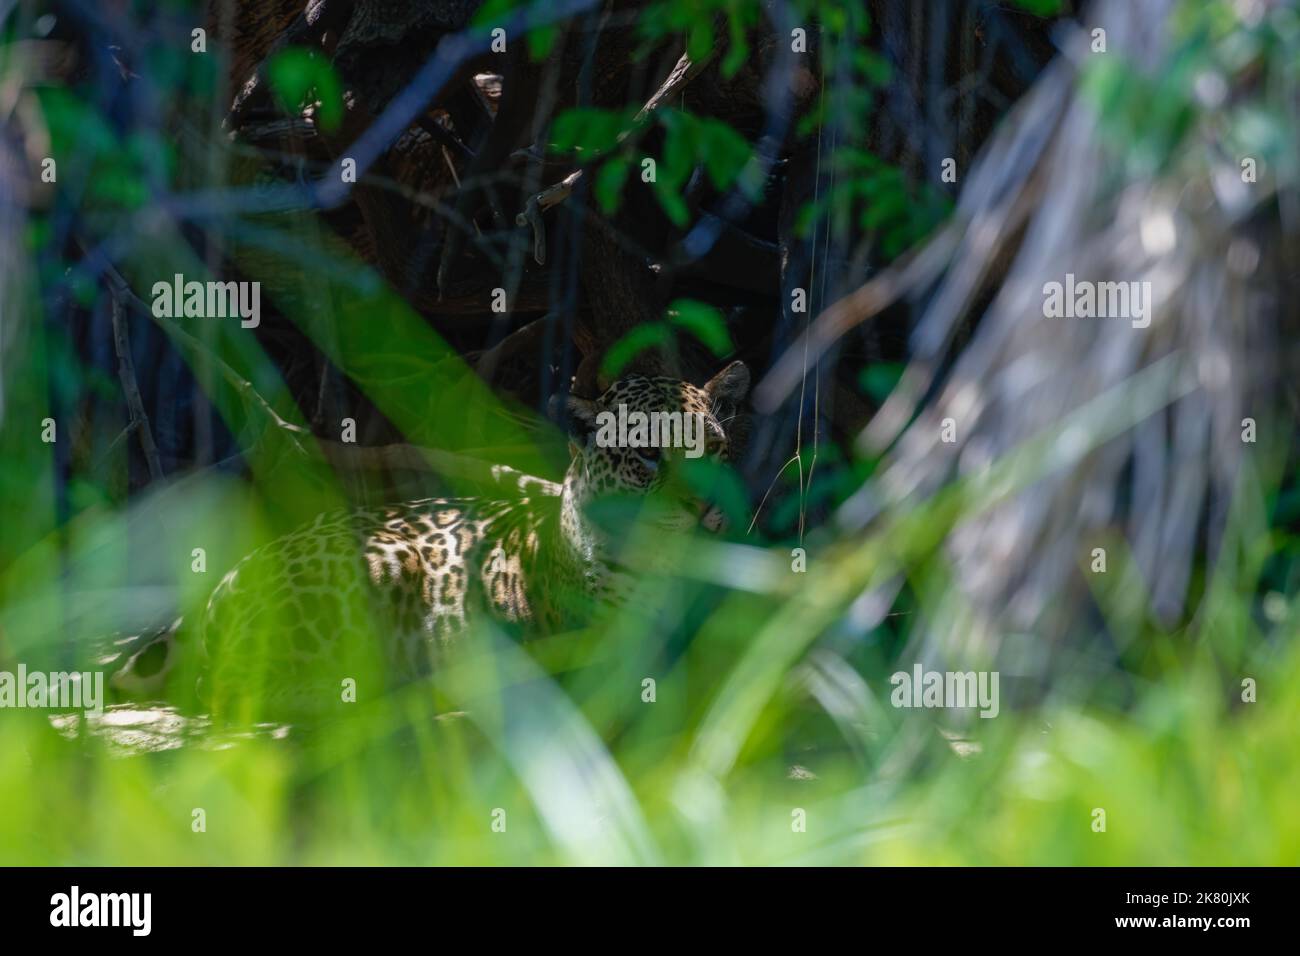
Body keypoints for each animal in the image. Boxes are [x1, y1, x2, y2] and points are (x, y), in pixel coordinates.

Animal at [110, 362, 750, 716]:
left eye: (717, 449)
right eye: (649, 455)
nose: (706, 511)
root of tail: (223, 583)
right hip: (383, 562)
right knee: (223, 689)